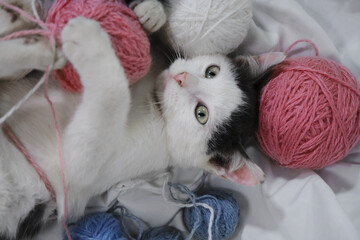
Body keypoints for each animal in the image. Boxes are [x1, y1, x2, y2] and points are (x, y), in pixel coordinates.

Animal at [0, 1, 282, 240]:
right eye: (212, 71)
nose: (180, 78)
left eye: (201, 114)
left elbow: (113, 96)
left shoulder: (75, 172)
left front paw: (89, 38)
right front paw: (152, 13)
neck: (152, 101)